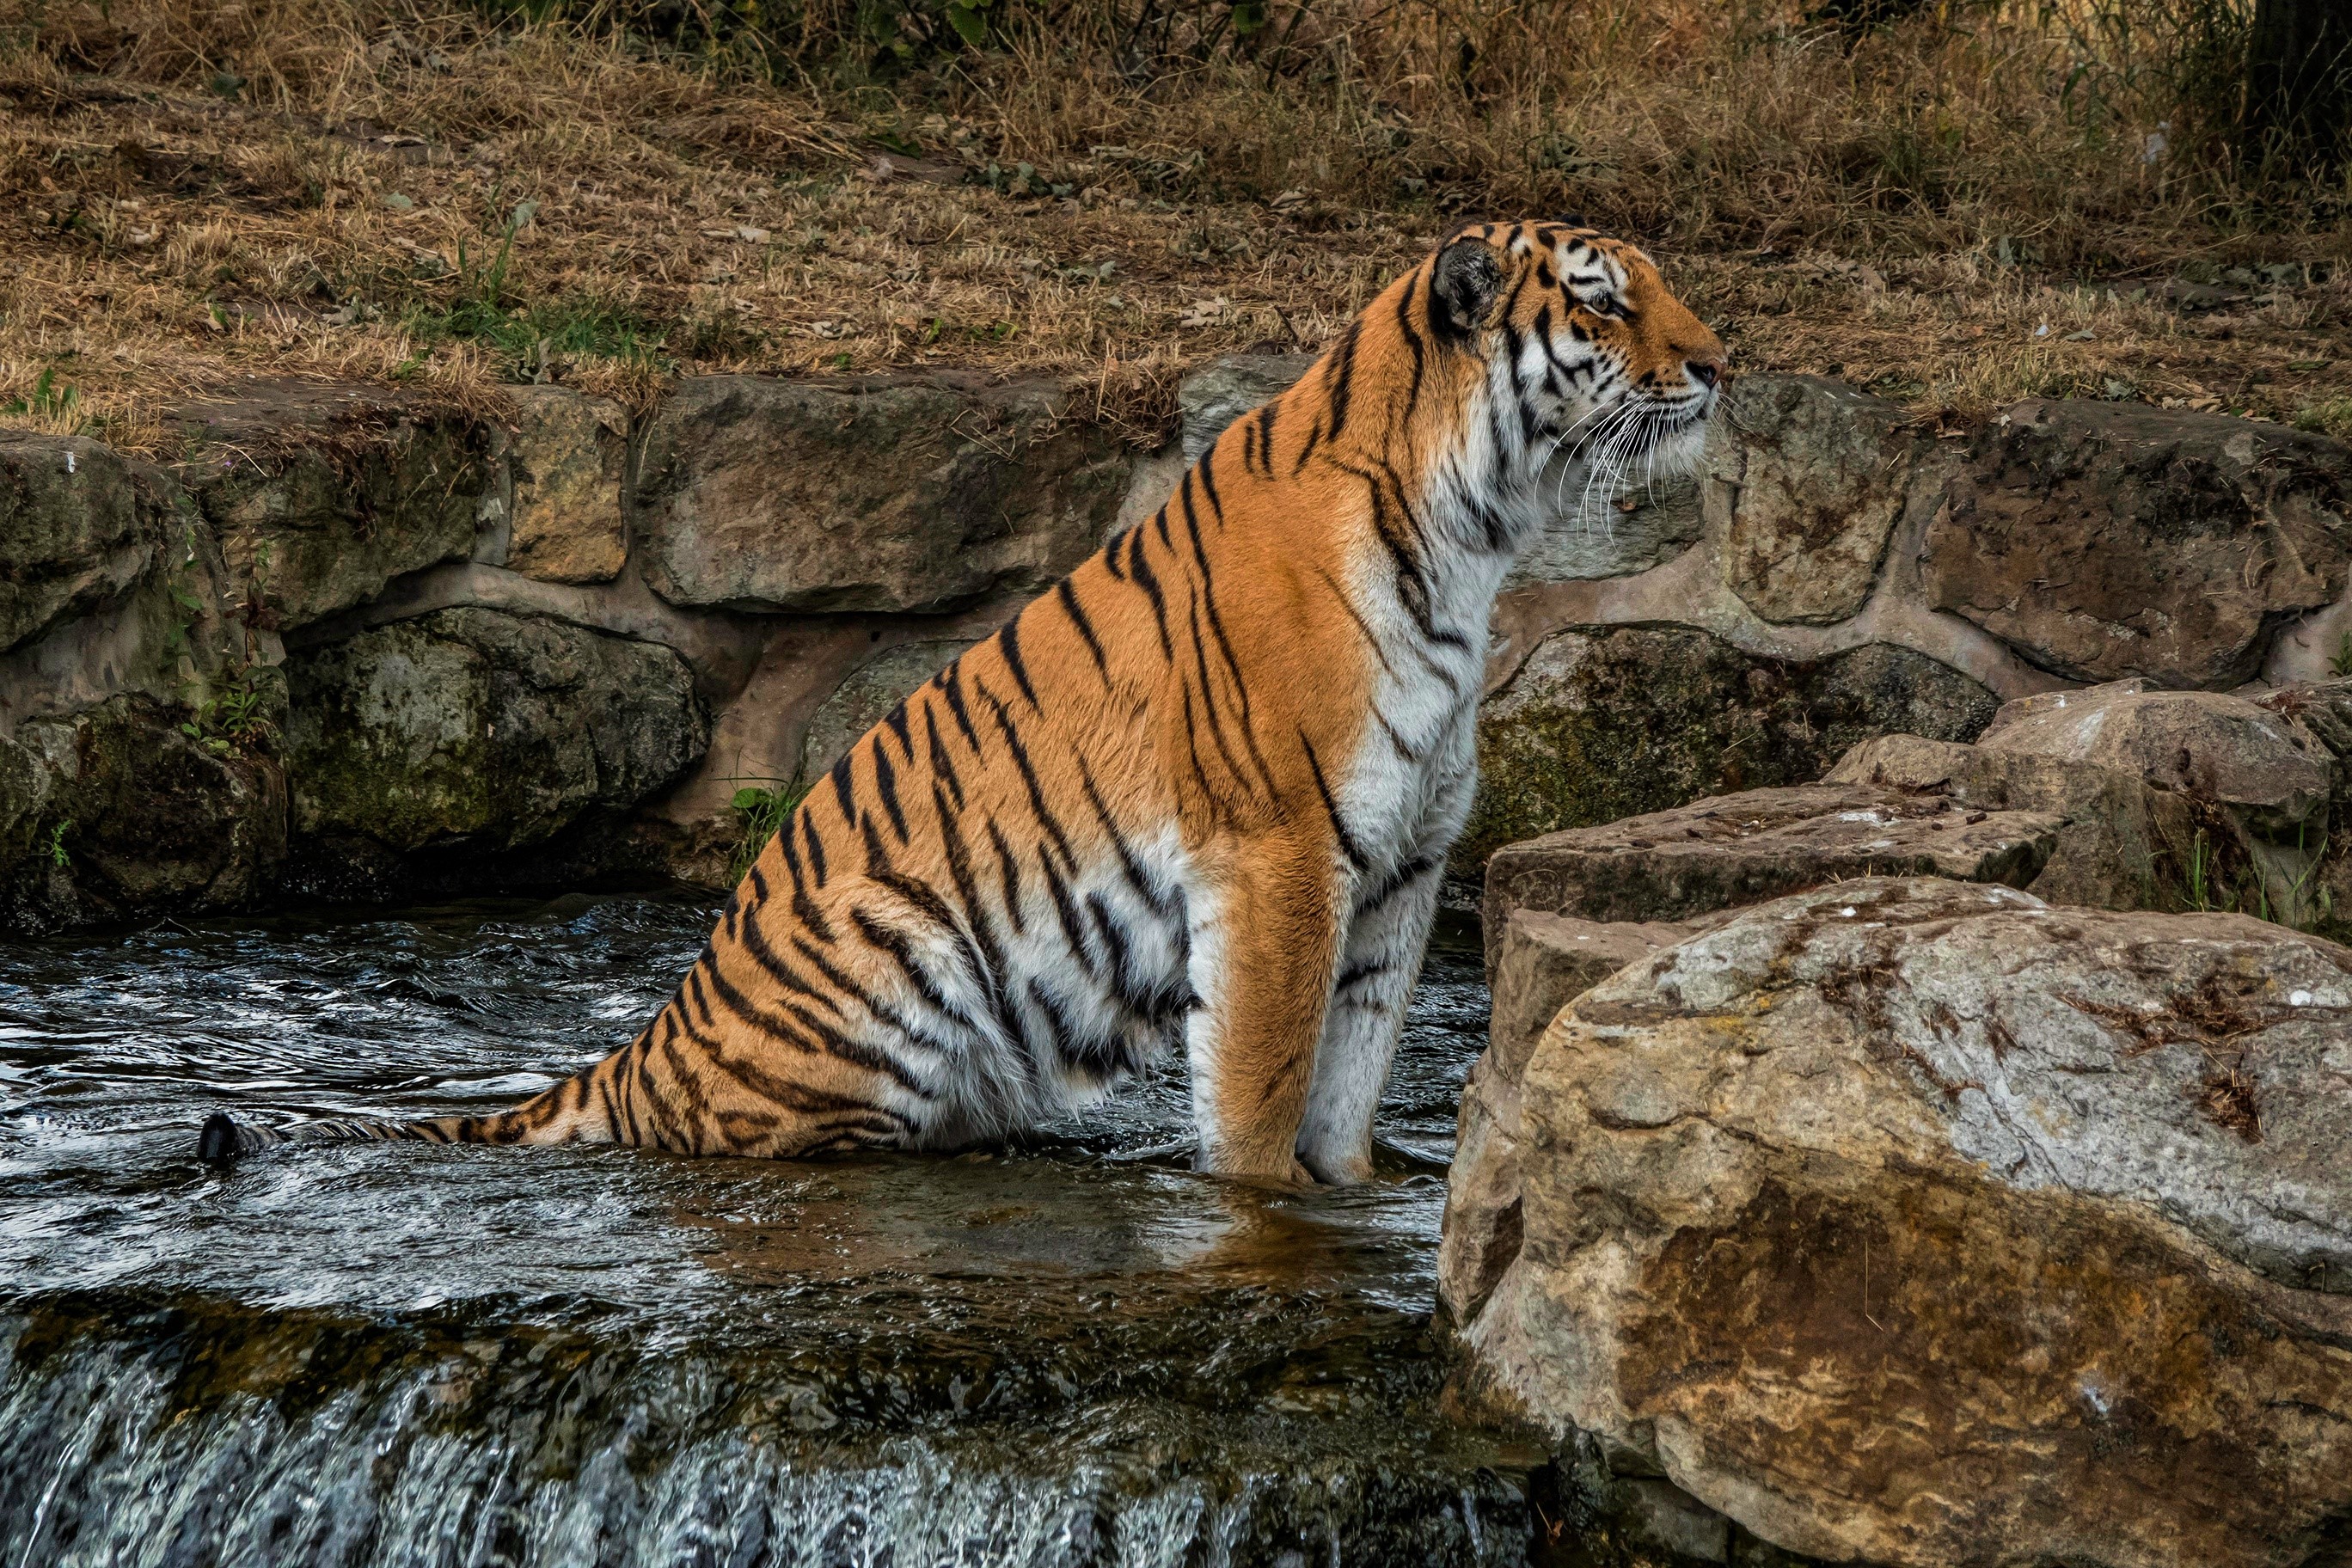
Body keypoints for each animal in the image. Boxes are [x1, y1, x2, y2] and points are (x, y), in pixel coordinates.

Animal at [199, 219, 1727, 1187]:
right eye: (1602, 300)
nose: (1718, 367)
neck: (1479, 533)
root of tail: (654, 1040)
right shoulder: (1283, 854)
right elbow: (1260, 1092)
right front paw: (1262, 1214)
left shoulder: (1404, 869)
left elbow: (1349, 1082)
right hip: (891, 977)